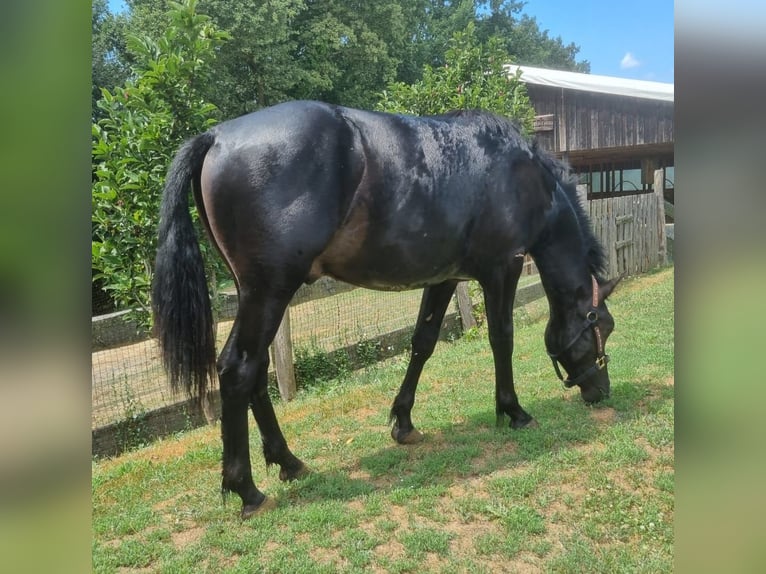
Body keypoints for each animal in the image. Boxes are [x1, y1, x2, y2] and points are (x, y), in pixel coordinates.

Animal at [153, 100, 620, 520]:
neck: (522, 177)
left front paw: (404, 422)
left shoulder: (444, 277)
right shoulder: (502, 267)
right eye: (603, 325)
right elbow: (501, 338)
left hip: (256, 294)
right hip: (268, 292)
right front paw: (514, 411)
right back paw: (246, 490)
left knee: (256, 371)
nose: (601, 391)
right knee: (239, 369)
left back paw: (289, 463)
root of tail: (216, 136)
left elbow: (423, 342)